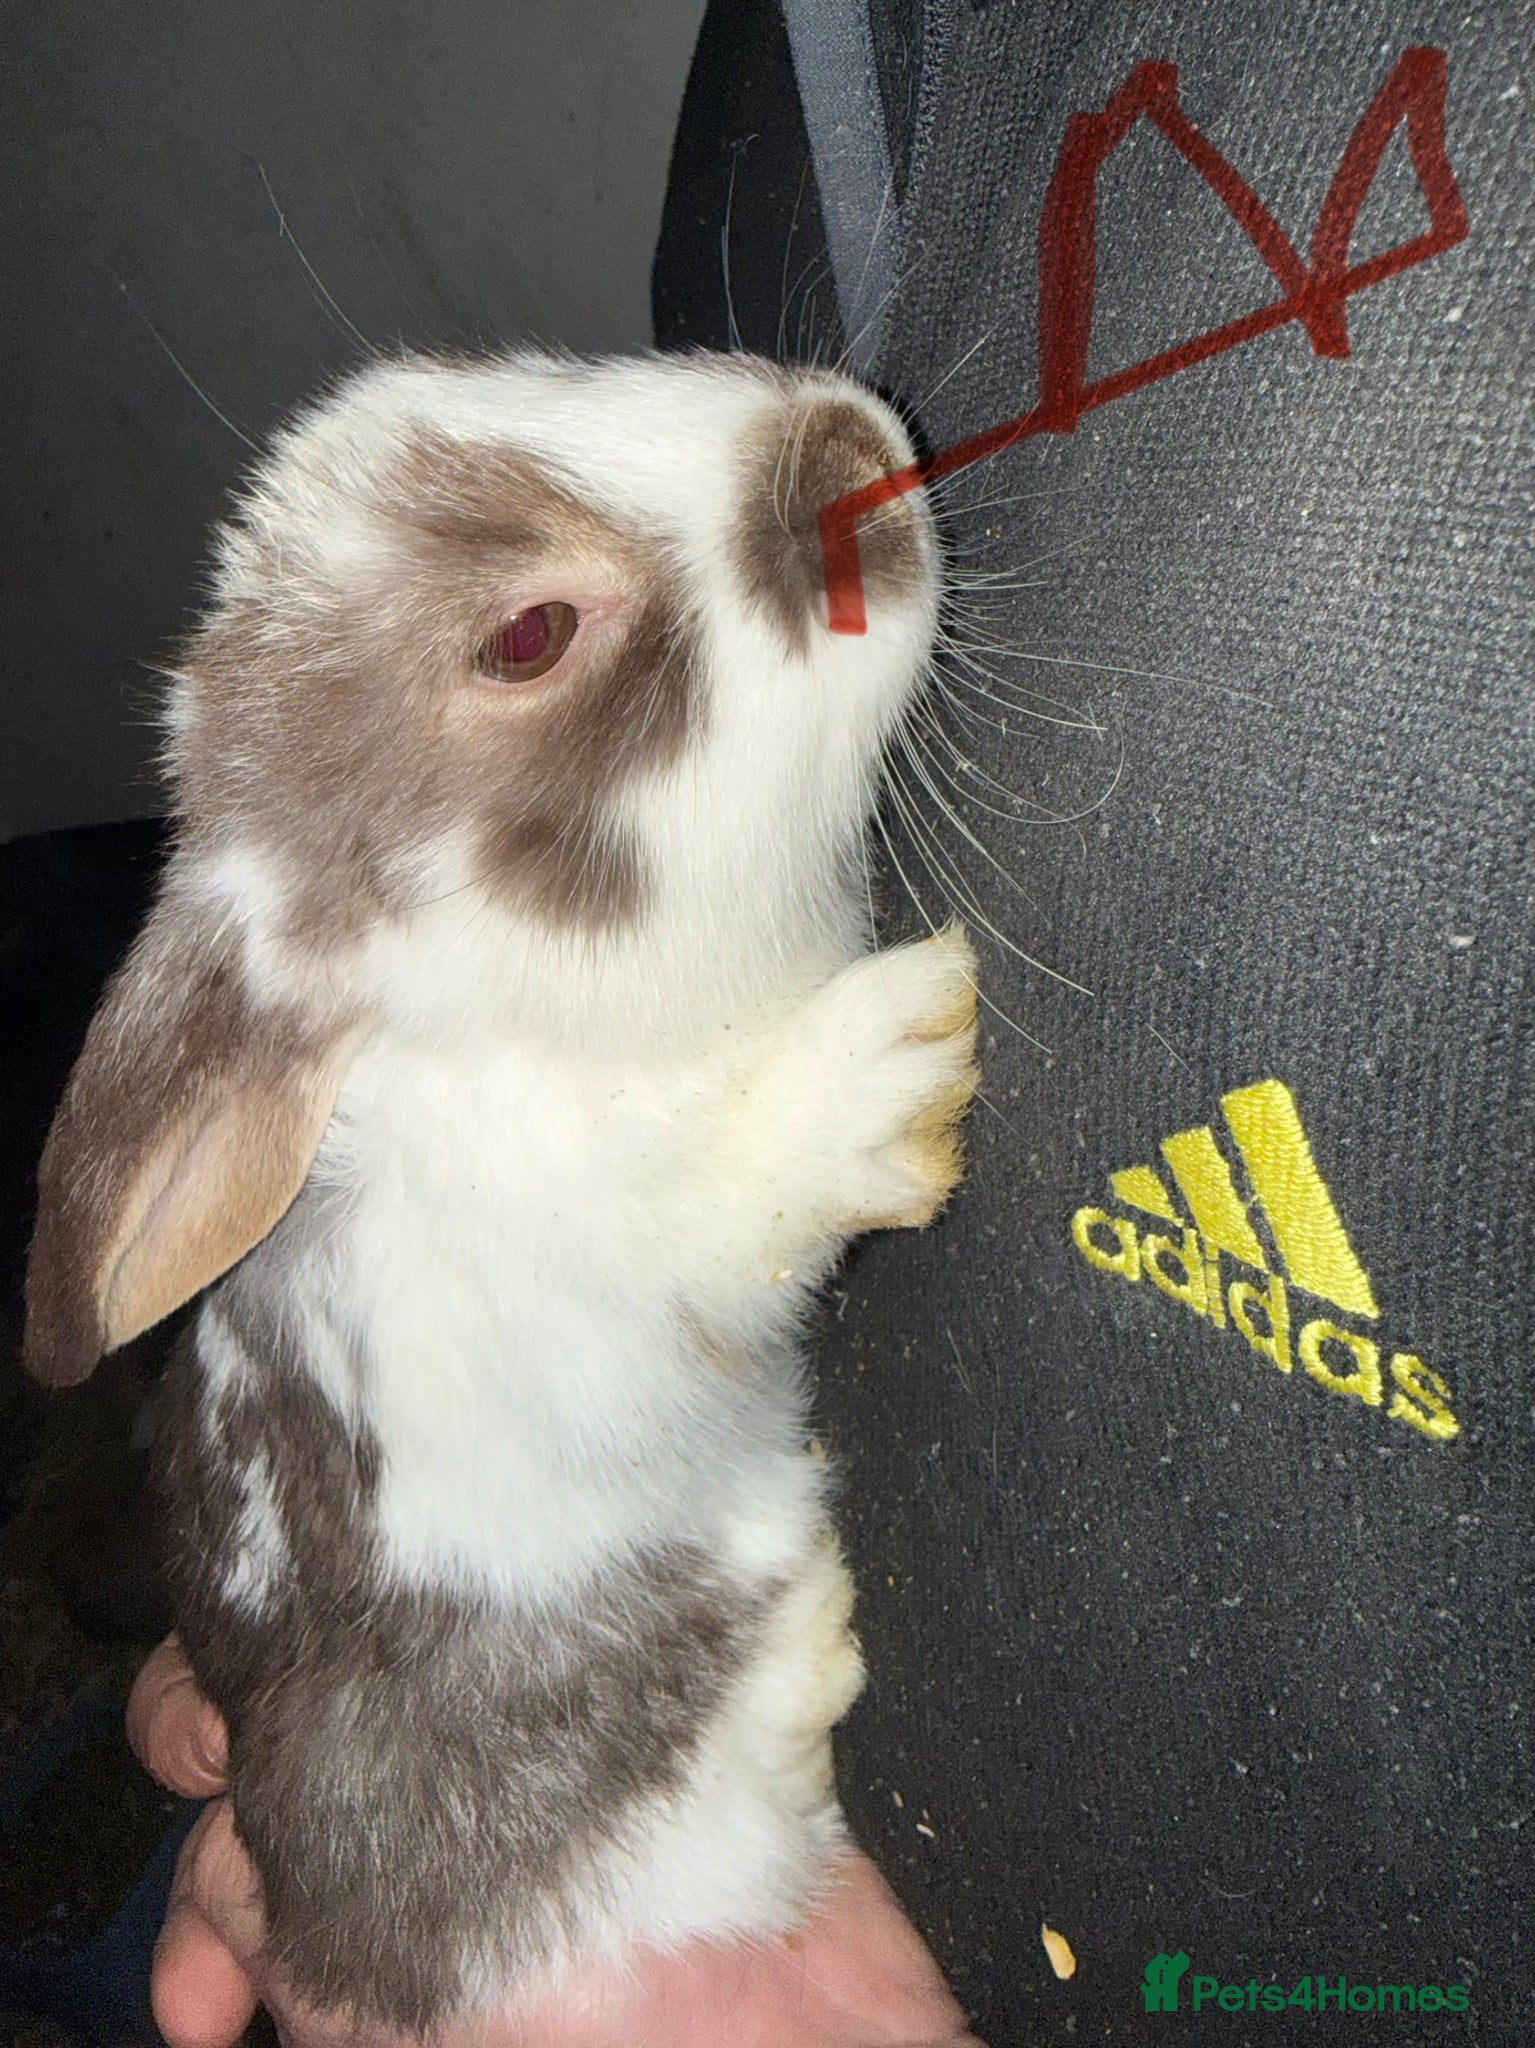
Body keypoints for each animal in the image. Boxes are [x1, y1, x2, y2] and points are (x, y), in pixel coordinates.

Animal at [23, 347, 979, 2032]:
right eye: (526, 636)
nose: (857, 439)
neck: (513, 1005)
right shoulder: (585, 1279)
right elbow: (722, 1201)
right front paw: (893, 1055)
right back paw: (802, 1649)